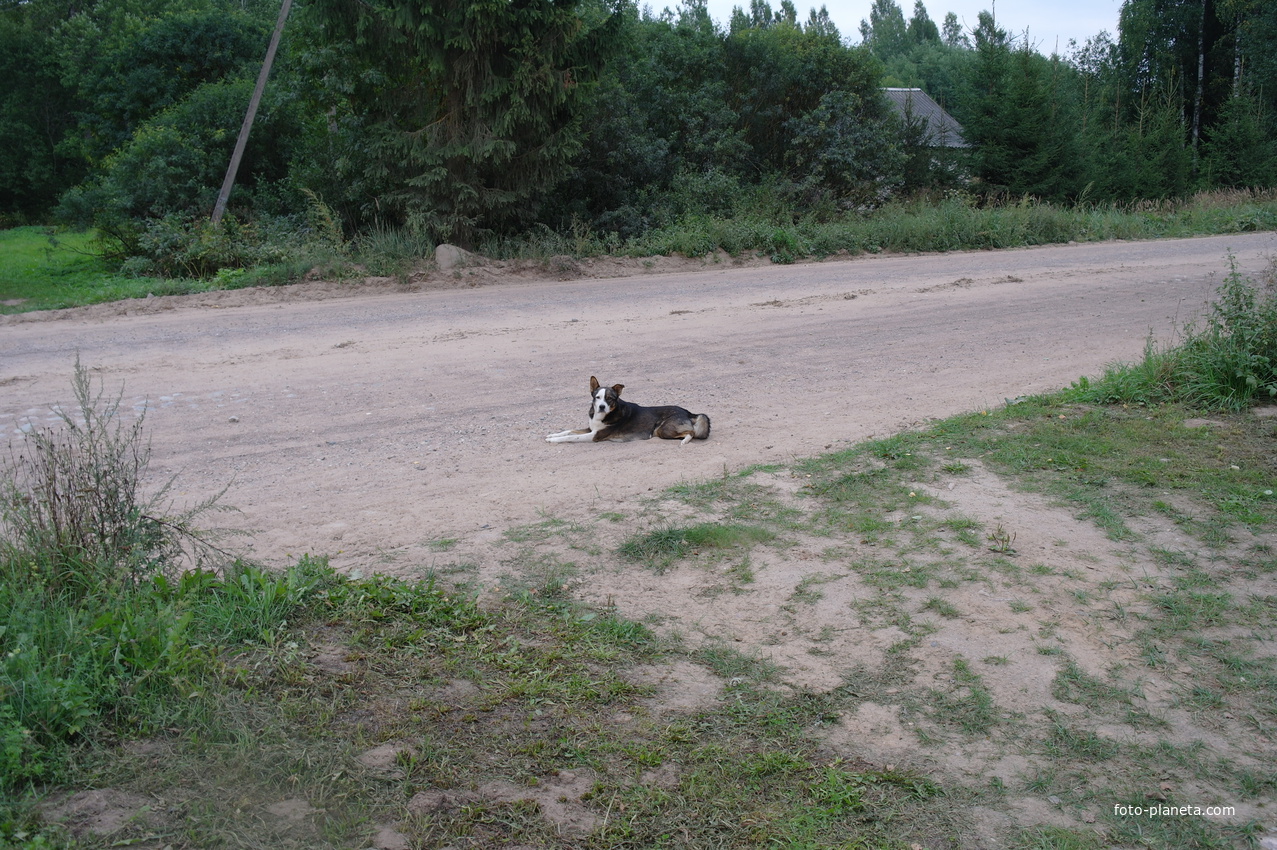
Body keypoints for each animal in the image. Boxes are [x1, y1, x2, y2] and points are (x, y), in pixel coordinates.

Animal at [546, 375, 715, 446]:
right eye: (598, 397)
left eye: (610, 398)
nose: (601, 407)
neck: (605, 415)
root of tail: (688, 412)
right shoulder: (590, 429)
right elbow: (569, 431)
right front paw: (552, 435)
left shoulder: (595, 435)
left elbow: (572, 437)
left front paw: (554, 440)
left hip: (663, 429)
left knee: (691, 433)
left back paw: (685, 440)